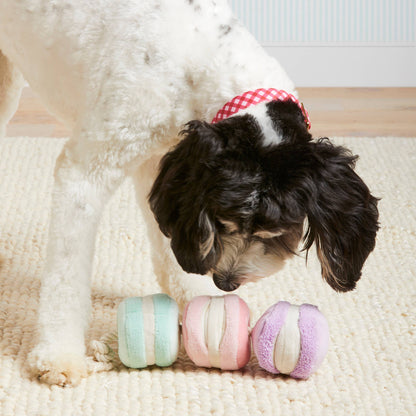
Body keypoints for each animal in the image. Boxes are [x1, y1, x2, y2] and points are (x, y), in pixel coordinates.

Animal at [0, 0, 378, 386]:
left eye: (273, 233)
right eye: (225, 223)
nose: (227, 282)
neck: (200, 61)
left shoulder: (163, 164)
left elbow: (170, 248)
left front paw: (199, 300)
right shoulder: (86, 172)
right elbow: (66, 279)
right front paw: (59, 354)